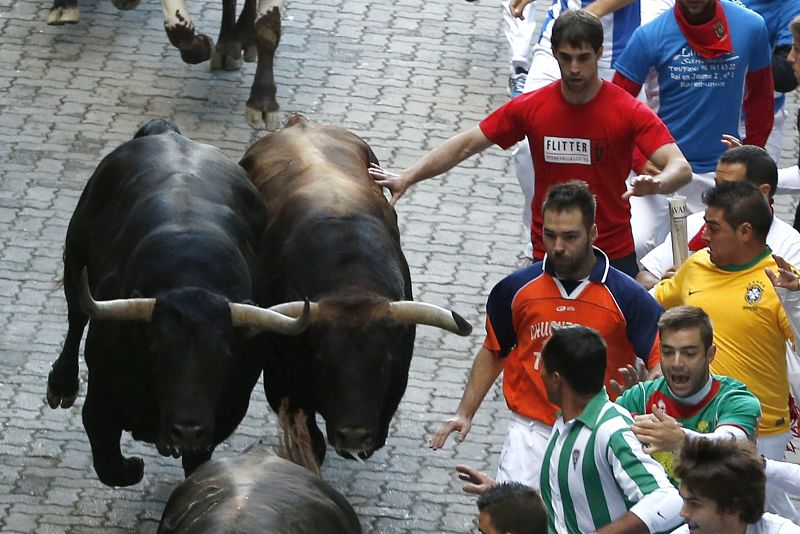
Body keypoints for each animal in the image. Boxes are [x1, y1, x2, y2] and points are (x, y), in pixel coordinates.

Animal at [46, 119, 310, 488]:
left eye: (225, 356)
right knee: (75, 314)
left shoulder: (219, 421)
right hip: (76, 252)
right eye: (158, 351)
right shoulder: (100, 406)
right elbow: (111, 467)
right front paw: (132, 466)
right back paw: (62, 384)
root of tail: (168, 133)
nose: (186, 429)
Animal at [47, 0, 284, 130]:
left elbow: (268, 28)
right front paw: (200, 46)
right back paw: (228, 43)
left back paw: (239, 37)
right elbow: (179, 30)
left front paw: (262, 102)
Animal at [241, 116, 472, 464]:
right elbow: (311, 442)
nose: (353, 436)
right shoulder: (283, 384)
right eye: (322, 362)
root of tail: (301, 124)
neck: (350, 282)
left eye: (384, 364)